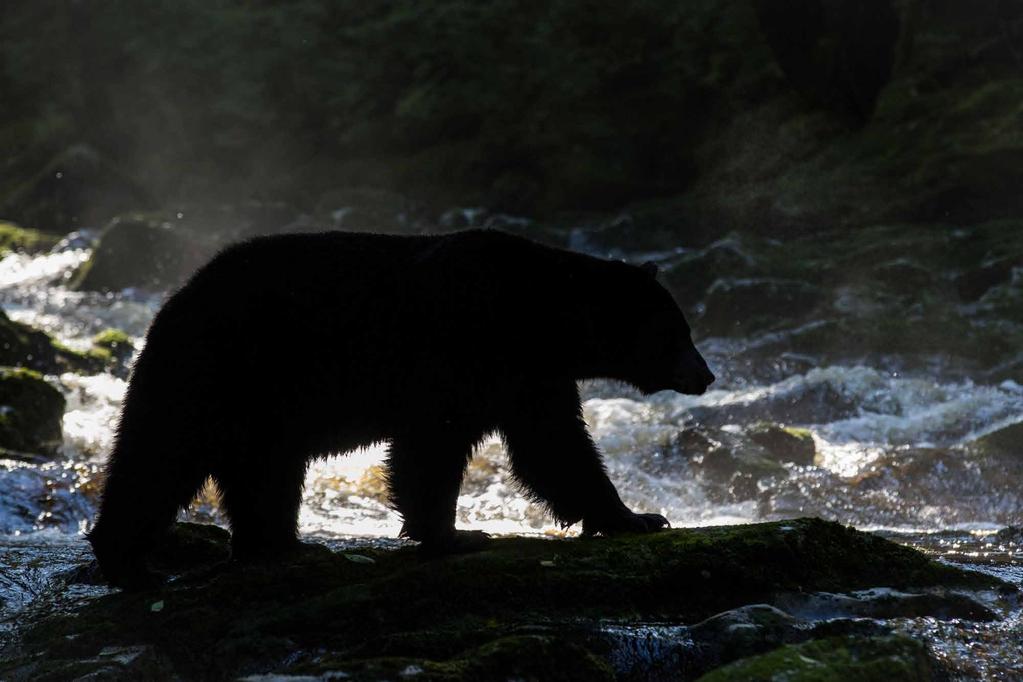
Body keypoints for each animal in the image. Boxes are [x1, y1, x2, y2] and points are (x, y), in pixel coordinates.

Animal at [90, 228, 712, 588]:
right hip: (219, 370)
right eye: (677, 334)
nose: (705, 374)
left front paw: (636, 517)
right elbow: (434, 445)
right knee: (158, 457)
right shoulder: (463, 346)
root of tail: (173, 299)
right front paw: (456, 534)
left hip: (257, 408)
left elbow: (554, 447)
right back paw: (129, 560)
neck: (540, 317)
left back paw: (276, 544)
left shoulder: (530, 377)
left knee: (262, 473)